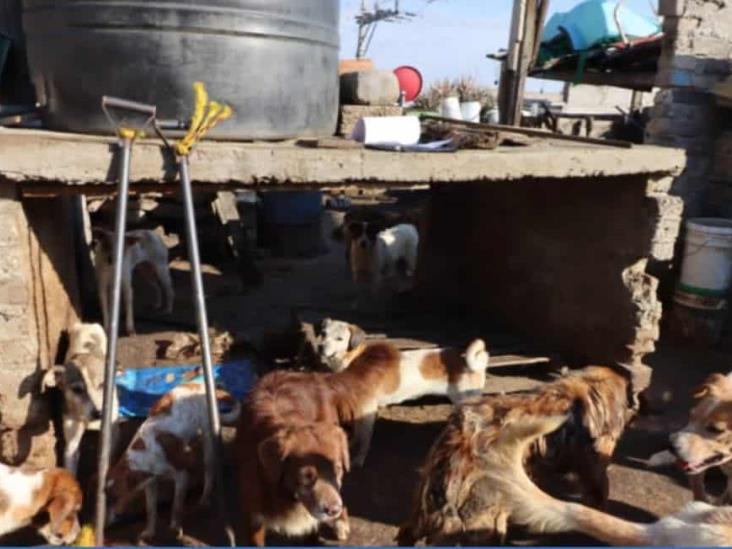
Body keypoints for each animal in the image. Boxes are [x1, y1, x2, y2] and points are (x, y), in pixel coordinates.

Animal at [104, 382, 240, 540]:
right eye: (105, 498)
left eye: (115, 498)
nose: (104, 525)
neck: (145, 455)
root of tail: (198, 384)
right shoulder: (150, 484)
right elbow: (150, 510)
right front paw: (149, 531)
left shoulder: (182, 477)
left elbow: (176, 506)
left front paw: (175, 528)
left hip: (208, 443)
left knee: (209, 472)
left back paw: (204, 499)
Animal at [398, 364, 632, 544]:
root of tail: (462, 438)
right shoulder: (595, 466)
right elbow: (599, 494)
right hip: (486, 516)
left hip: (425, 503)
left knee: (407, 531)